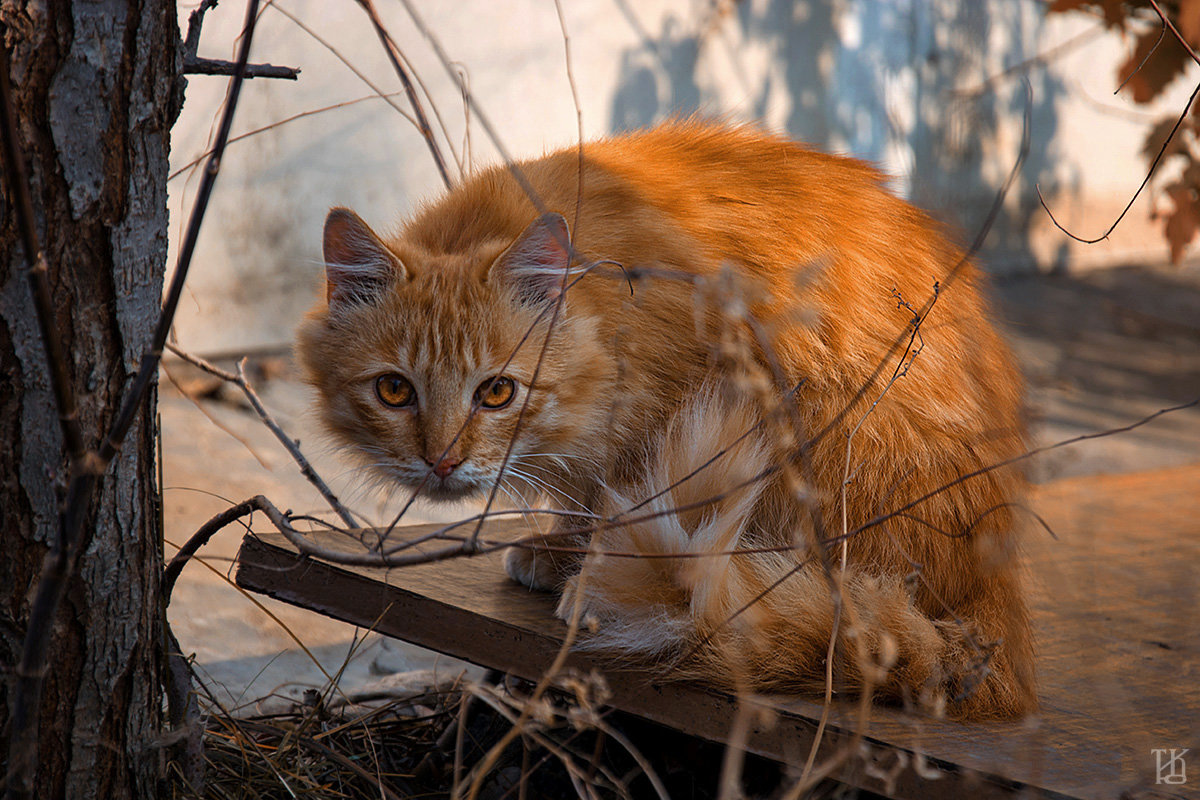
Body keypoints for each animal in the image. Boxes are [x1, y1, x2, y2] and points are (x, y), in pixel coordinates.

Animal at [295, 118, 1036, 719]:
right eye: (395, 391)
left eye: (497, 393)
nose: (442, 460)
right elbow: (583, 495)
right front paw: (559, 549)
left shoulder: (674, 408)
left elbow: (614, 497)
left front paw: (589, 576)